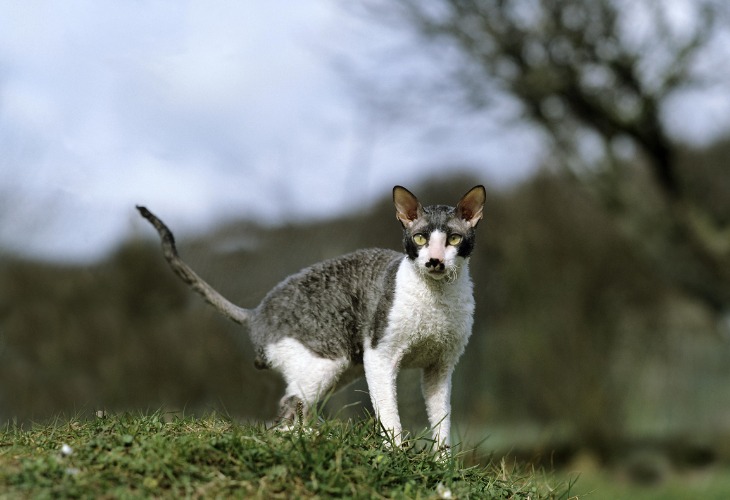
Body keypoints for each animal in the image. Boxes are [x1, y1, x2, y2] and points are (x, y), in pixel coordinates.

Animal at [136, 184, 484, 450]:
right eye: (421, 239)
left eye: (453, 240)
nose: (435, 261)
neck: (437, 298)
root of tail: (256, 314)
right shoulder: (380, 355)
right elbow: (389, 415)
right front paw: (397, 455)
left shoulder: (441, 367)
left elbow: (442, 421)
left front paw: (442, 465)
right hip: (327, 360)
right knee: (282, 414)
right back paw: (306, 439)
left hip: (340, 368)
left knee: (297, 409)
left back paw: (312, 435)